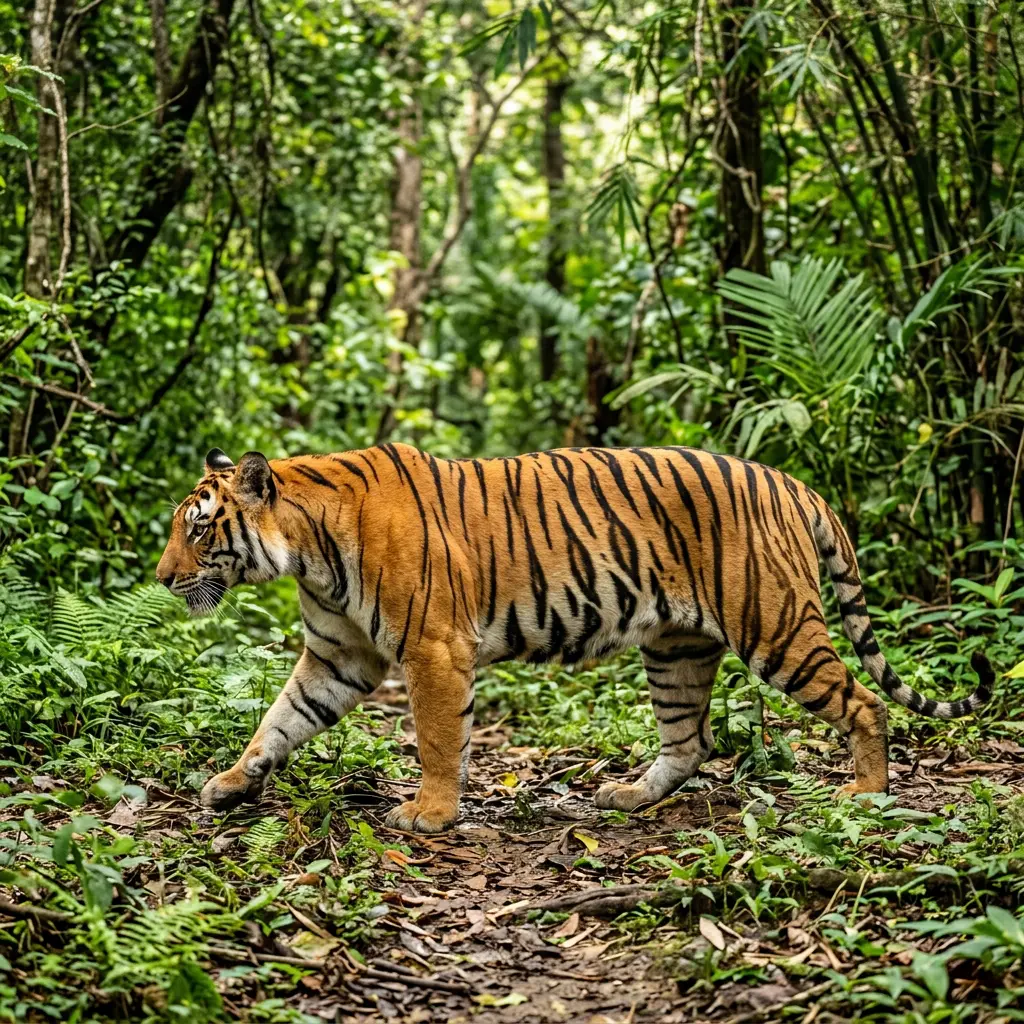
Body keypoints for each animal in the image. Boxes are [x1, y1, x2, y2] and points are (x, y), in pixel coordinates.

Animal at [155, 444, 994, 833]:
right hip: (677, 646)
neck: (308, 552)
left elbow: (435, 740)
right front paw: (231, 783)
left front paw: (431, 814)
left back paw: (866, 792)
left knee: (862, 702)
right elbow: (278, 721)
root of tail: (792, 483)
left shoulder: (433, 649)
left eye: (198, 529)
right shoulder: (338, 656)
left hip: (776, 625)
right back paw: (630, 796)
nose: (163, 579)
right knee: (690, 741)